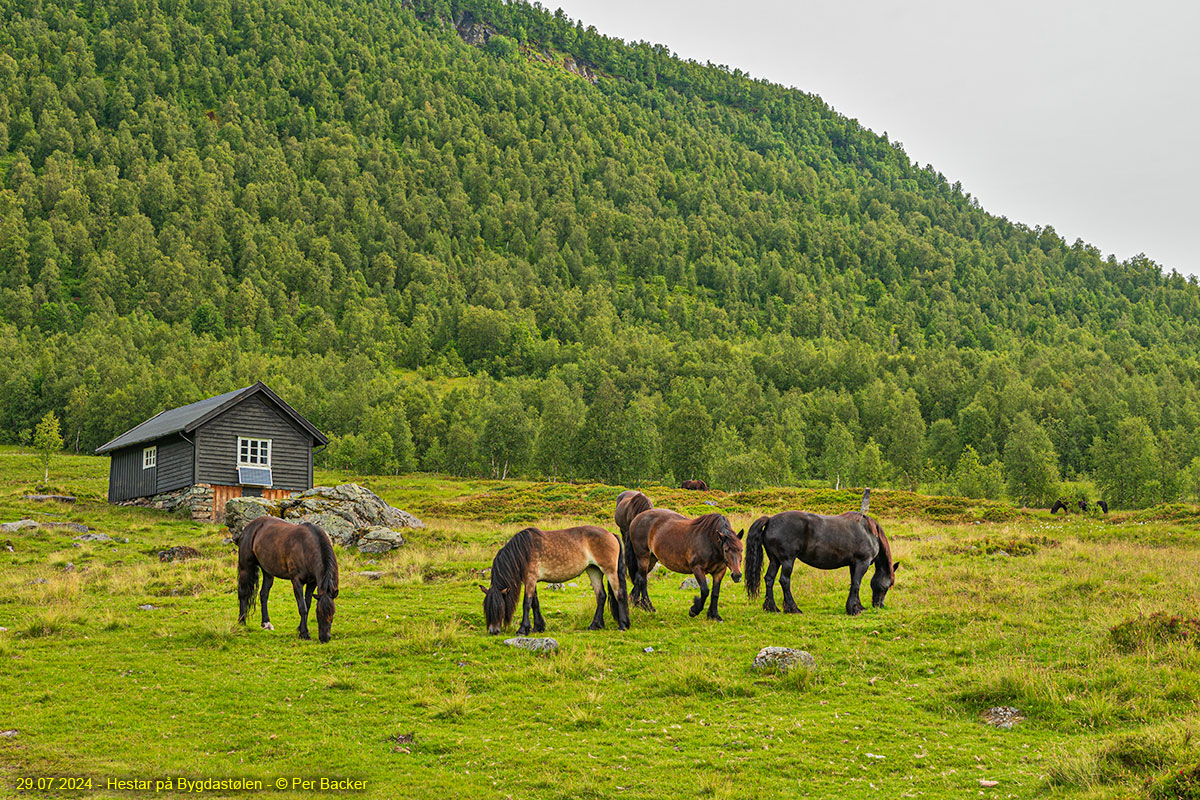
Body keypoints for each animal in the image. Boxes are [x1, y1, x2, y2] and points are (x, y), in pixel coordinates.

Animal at [480, 525, 633, 638]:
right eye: (486, 609)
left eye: (499, 608)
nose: (493, 631)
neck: (523, 551)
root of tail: (611, 534)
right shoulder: (532, 580)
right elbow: (535, 603)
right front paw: (538, 627)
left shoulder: (530, 579)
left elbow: (527, 603)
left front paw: (523, 629)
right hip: (593, 570)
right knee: (601, 596)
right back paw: (595, 625)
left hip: (610, 571)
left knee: (619, 594)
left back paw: (623, 625)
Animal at [739, 510, 902, 618]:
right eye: (888, 585)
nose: (879, 605)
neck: (869, 532)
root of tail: (770, 520)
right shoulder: (862, 563)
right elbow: (856, 584)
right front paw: (853, 609)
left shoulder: (853, 565)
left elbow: (854, 584)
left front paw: (858, 606)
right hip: (787, 561)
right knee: (784, 581)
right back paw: (793, 608)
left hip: (775, 561)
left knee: (769, 579)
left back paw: (772, 607)